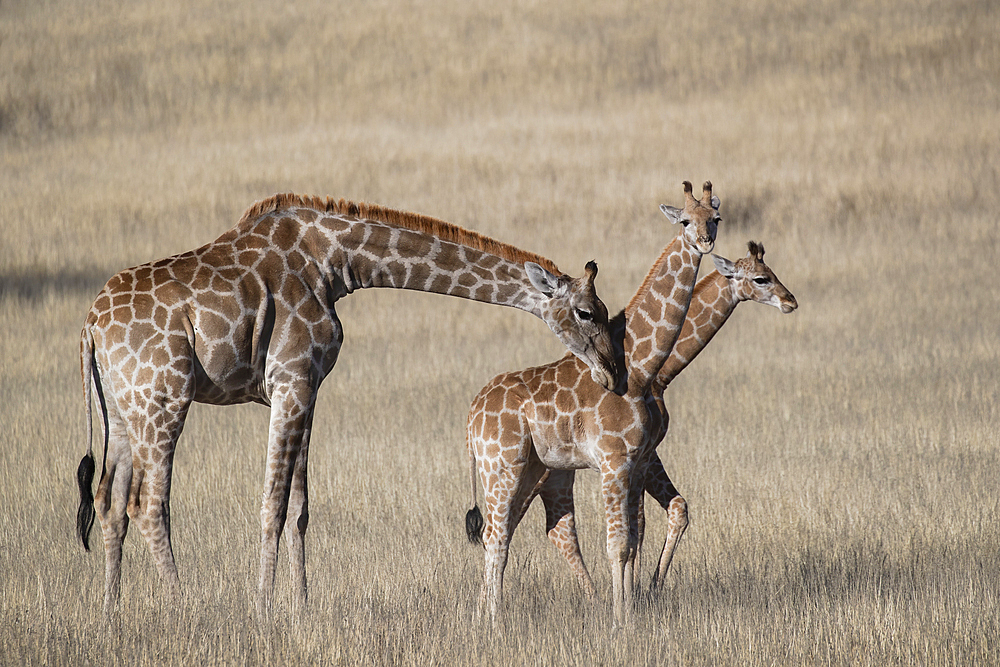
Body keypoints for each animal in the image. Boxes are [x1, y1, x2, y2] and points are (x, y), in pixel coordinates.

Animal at [78, 193, 620, 616]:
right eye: (586, 312)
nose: (613, 373)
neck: (336, 263)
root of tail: (89, 326)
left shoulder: (308, 387)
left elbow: (299, 506)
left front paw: (300, 607)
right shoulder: (289, 379)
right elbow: (272, 502)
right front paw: (263, 609)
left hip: (122, 410)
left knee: (109, 501)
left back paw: (110, 611)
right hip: (164, 398)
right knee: (148, 503)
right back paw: (183, 605)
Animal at [468, 179, 720, 628]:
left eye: (717, 218)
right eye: (685, 221)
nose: (705, 241)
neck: (641, 367)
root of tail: (470, 416)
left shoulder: (636, 462)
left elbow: (633, 538)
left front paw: (631, 609)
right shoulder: (613, 461)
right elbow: (617, 544)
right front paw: (622, 621)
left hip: (528, 468)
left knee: (502, 532)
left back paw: (484, 615)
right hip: (502, 464)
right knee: (495, 535)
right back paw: (494, 621)